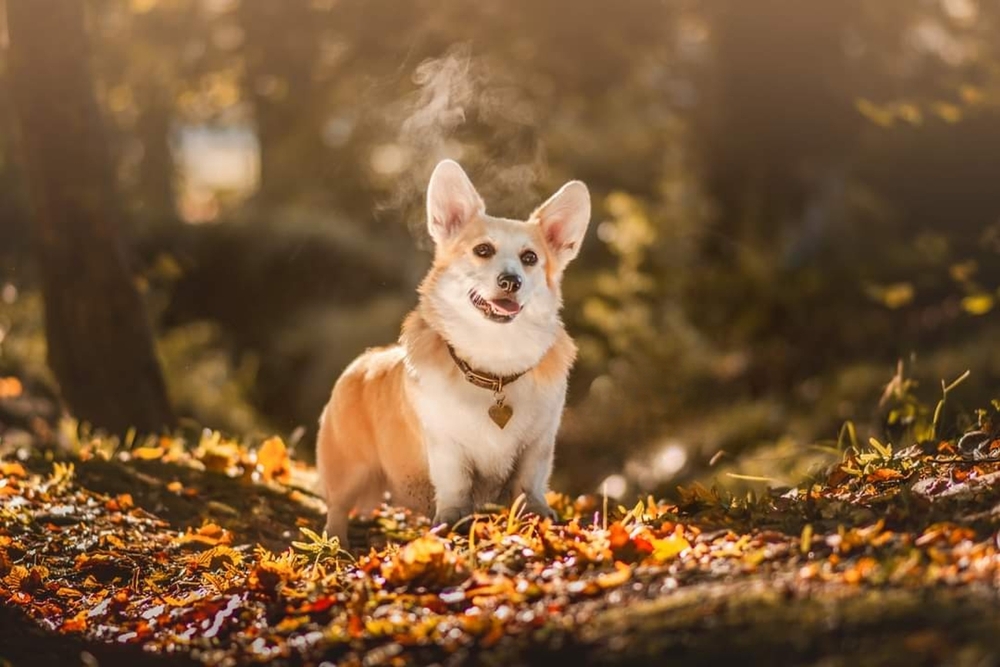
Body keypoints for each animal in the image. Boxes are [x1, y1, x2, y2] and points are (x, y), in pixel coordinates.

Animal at [316, 159, 588, 544]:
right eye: (483, 250)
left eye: (530, 257)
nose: (511, 281)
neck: (494, 363)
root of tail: (362, 360)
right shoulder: (446, 446)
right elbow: (456, 485)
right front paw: (454, 519)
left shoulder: (538, 444)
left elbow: (529, 482)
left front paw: (537, 515)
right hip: (350, 470)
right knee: (338, 508)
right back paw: (336, 542)